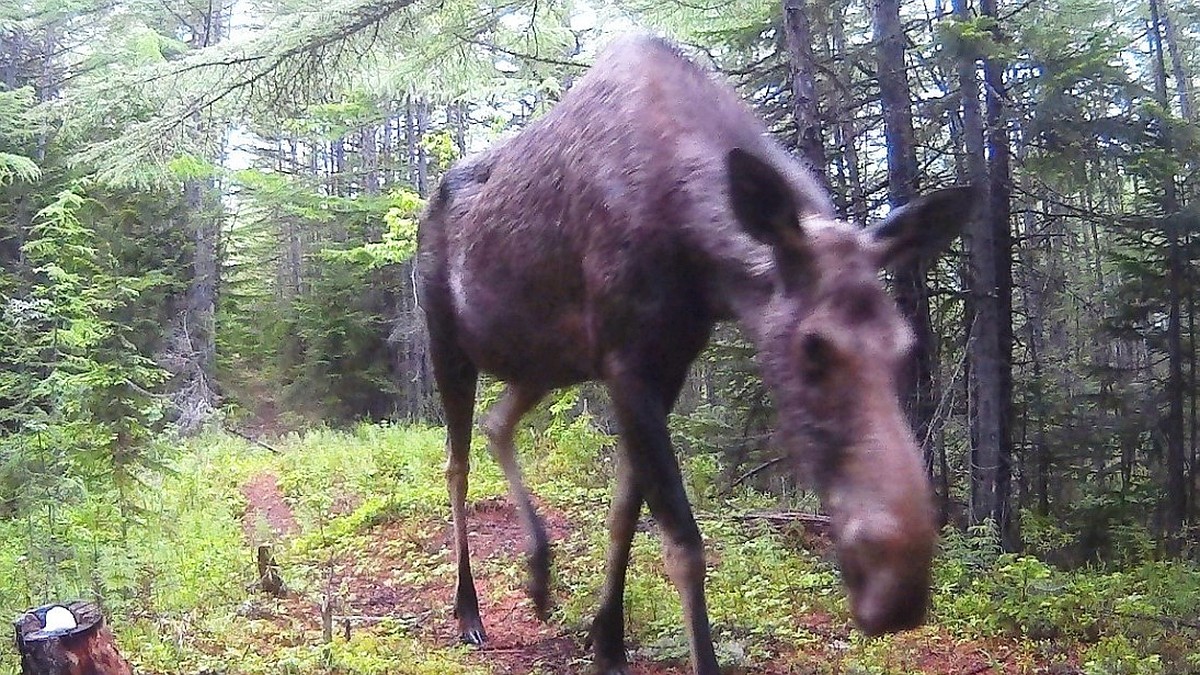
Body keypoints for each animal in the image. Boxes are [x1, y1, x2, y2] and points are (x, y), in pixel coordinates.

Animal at [417, 32, 969, 672]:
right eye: (813, 347)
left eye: (904, 347)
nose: (896, 587)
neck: (701, 269)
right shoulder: (626, 363)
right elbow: (681, 539)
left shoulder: (667, 364)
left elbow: (624, 514)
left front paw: (606, 640)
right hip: (449, 346)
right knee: (455, 464)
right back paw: (468, 611)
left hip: (545, 361)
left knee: (497, 422)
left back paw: (539, 572)